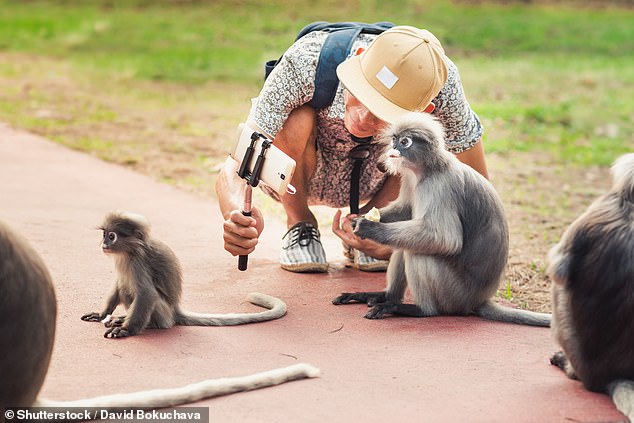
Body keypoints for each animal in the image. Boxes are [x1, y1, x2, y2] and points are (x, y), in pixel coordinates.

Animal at [82, 211, 286, 338]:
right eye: (104, 235)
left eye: (112, 236)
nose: (104, 245)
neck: (130, 252)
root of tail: (174, 311)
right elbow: (118, 284)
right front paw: (102, 314)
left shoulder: (137, 264)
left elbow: (147, 294)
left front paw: (126, 330)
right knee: (125, 287)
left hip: (163, 314)